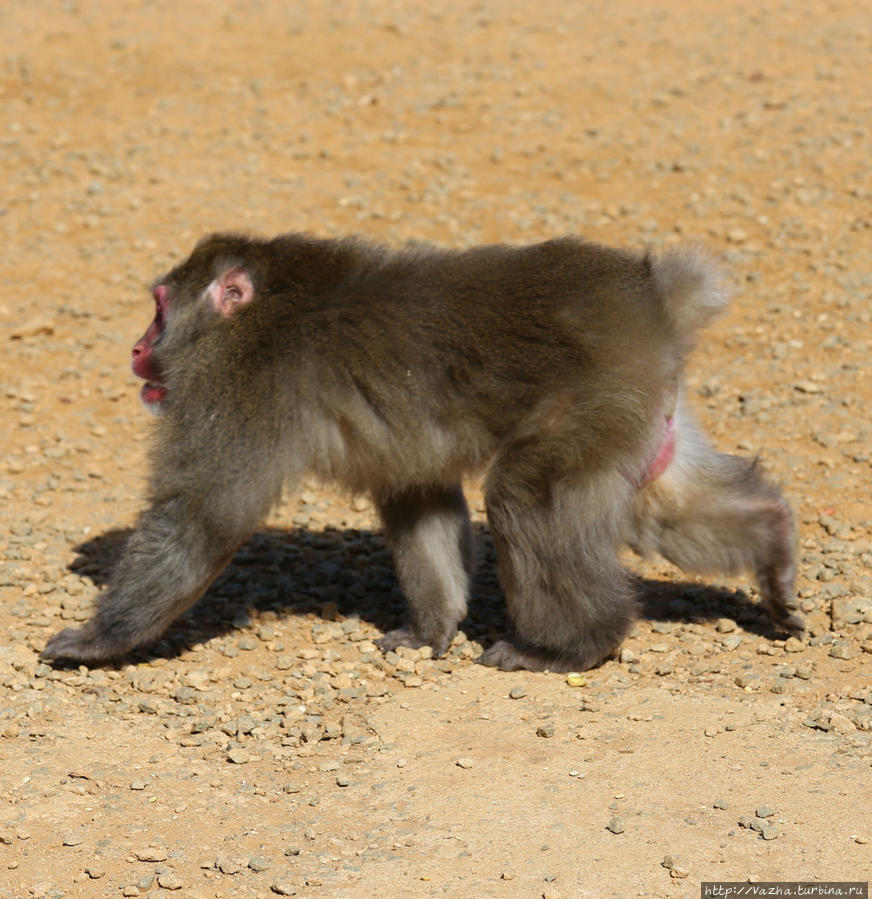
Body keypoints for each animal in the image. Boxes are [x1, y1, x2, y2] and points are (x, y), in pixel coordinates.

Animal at [42, 236, 804, 672]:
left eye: (159, 310)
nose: (136, 347)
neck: (265, 311)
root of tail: (653, 298)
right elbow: (419, 498)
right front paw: (433, 629)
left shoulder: (238, 388)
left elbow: (199, 518)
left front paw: (101, 639)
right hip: (643, 404)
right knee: (662, 503)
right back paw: (772, 550)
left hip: (599, 391)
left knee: (527, 497)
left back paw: (570, 647)